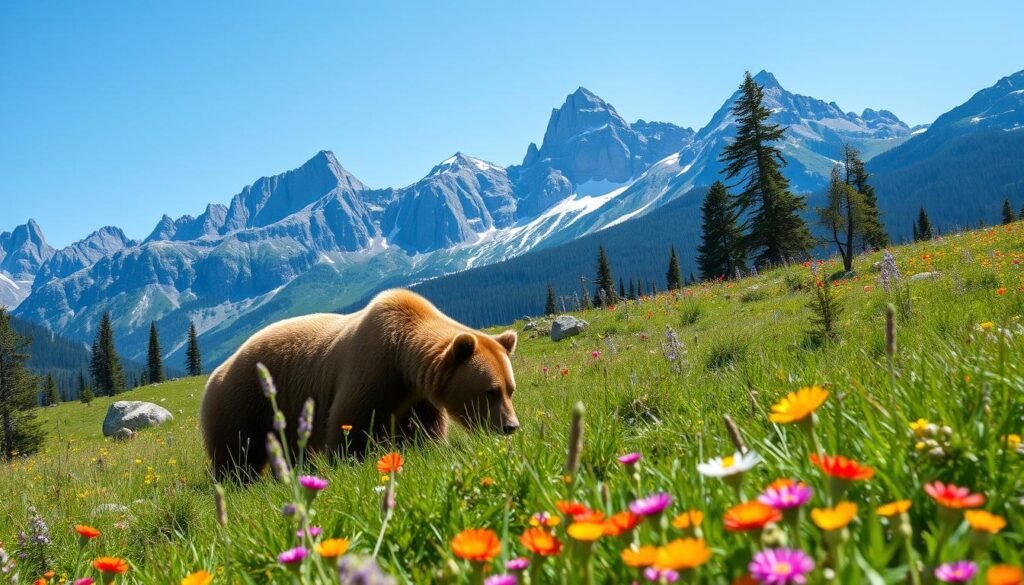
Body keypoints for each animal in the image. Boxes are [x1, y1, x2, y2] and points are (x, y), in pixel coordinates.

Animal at [199, 288, 520, 481]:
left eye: (510, 389)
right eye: (490, 391)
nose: (510, 426)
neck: (402, 357)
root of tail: (215, 373)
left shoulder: (417, 397)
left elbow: (422, 431)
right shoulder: (370, 371)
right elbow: (350, 424)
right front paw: (349, 463)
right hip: (243, 402)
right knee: (237, 452)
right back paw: (239, 482)